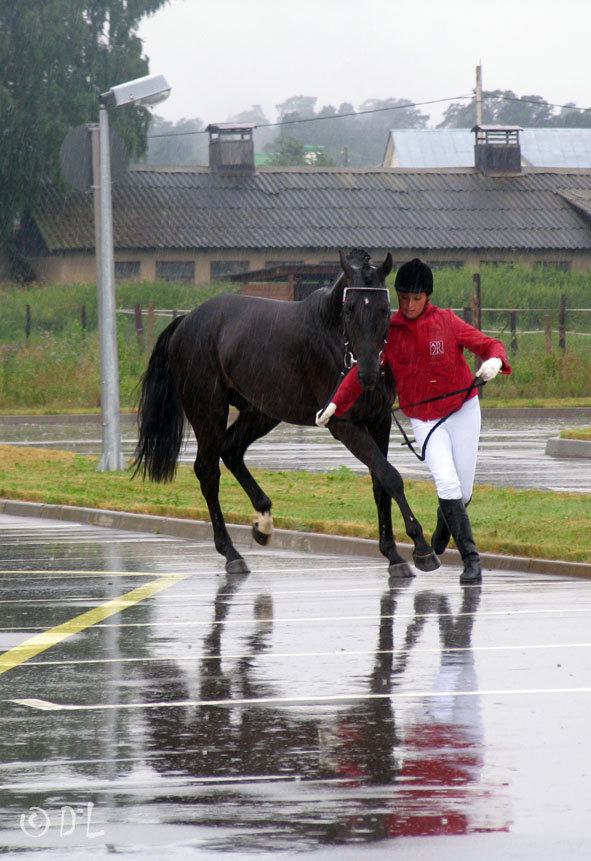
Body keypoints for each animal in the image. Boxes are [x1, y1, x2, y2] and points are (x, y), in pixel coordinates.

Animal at [133, 252, 440, 576]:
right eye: (350, 309)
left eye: (383, 309)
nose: (368, 374)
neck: (333, 334)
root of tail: (186, 321)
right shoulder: (344, 425)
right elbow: (391, 477)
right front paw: (421, 548)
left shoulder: (378, 421)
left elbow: (381, 483)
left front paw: (393, 554)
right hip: (208, 411)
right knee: (208, 470)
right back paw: (231, 552)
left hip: (260, 412)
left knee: (231, 451)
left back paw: (263, 522)